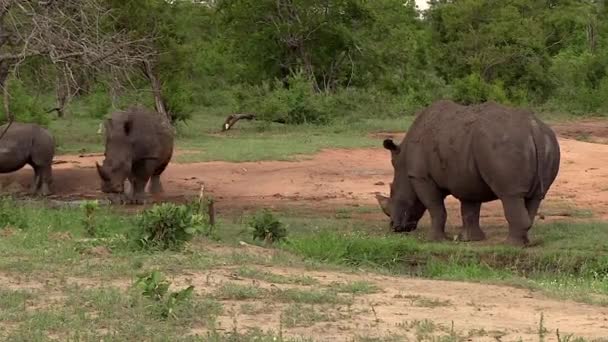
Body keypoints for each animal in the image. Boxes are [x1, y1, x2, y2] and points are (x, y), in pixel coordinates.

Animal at [384, 99, 560, 246]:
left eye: (392, 191)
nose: (394, 227)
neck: (403, 164)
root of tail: (533, 128)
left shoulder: (420, 177)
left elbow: (435, 208)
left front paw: (433, 240)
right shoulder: (466, 176)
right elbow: (470, 209)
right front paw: (471, 239)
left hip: (506, 146)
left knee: (510, 195)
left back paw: (510, 245)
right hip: (549, 142)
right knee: (535, 198)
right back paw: (525, 243)